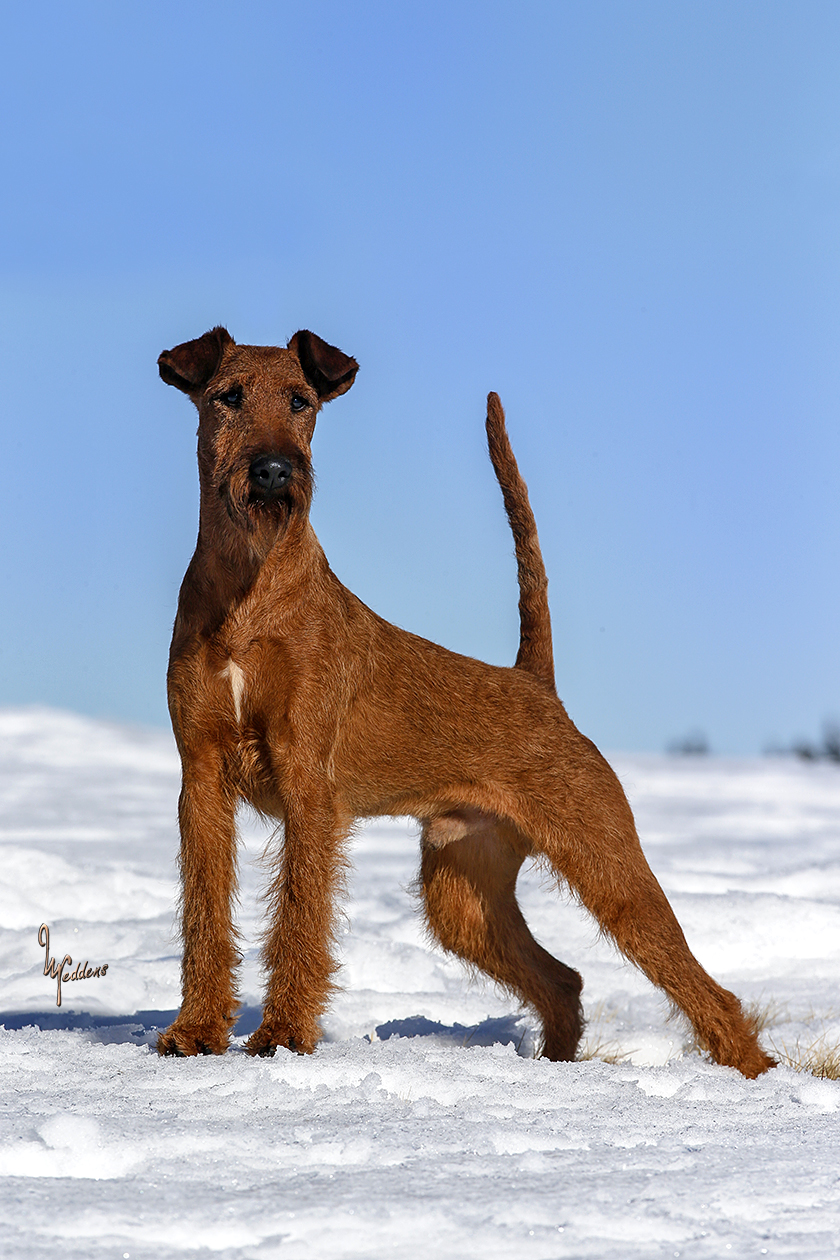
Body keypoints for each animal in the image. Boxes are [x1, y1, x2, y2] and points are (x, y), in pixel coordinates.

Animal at [156, 330, 775, 1078]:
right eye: (229, 396)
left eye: (301, 402)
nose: (275, 471)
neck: (248, 588)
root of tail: (535, 682)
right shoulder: (202, 778)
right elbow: (204, 914)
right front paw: (194, 1032)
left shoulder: (307, 785)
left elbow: (299, 916)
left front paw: (281, 1037)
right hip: (462, 894)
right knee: (563, 980)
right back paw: (552, 1069)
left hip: (607, 864)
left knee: (704, 986)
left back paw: (755, 1075)